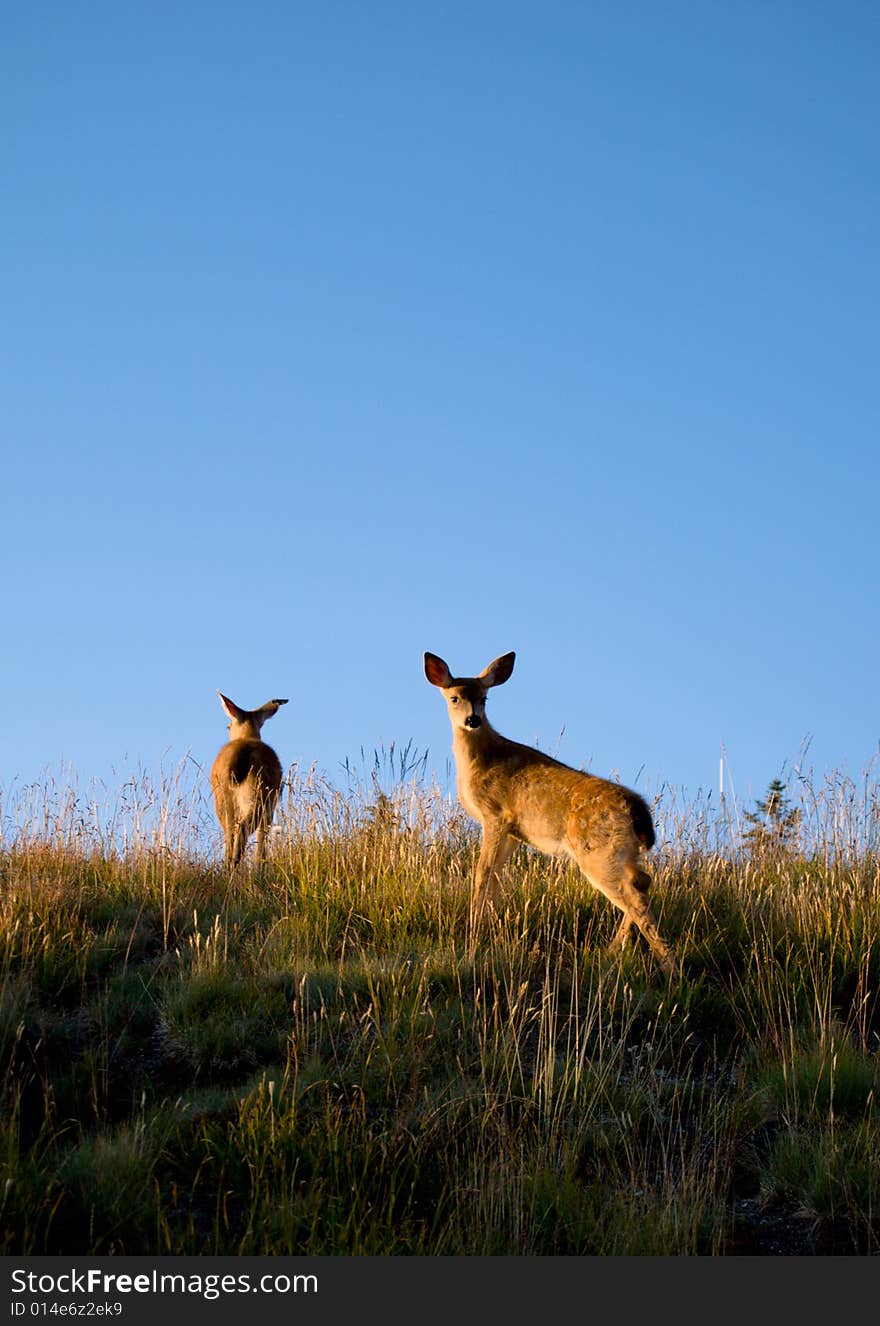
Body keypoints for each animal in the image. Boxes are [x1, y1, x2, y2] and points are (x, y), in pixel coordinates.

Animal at [209, 694, 288, 869]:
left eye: (228, 726)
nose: (228, 727)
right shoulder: (270, 808)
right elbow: (262, 838)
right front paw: (260, 867)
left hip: (222, 797)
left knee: (230, 831)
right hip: (258, 794)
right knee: (242, 828)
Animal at [424, 652, 675, 975]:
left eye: (484, 698)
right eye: (454, 697)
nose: (472, 719)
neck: (481, 759)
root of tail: (639, 811)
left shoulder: (496, 815)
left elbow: (482, 873)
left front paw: (472, 939)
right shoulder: (513, 832)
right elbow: (495, 877)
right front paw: (487, 931)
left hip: (598, 851)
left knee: (634, 895)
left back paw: (670, 967)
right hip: (623, 851)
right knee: (643, 881)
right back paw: (612, 951)